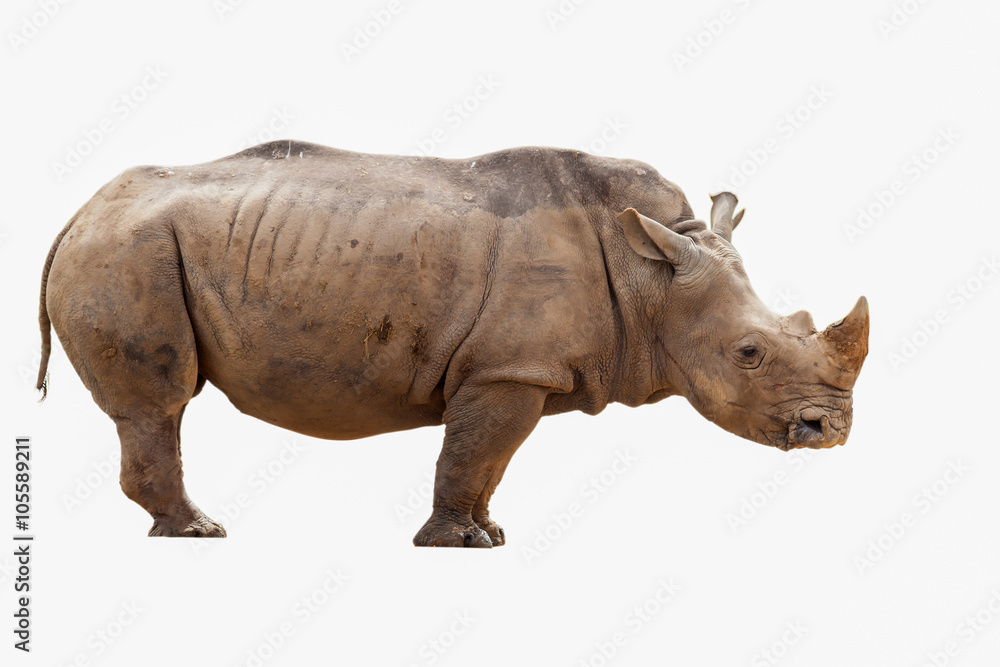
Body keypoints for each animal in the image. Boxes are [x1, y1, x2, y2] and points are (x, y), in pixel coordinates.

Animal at [36, 140, 869, 547]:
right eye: (749, 353)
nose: (829, 431)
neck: (651, 275)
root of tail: (77, 213)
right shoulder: (509, 369)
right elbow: (472, 451)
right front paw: (456, 544)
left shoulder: (515, 370)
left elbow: (488, 460)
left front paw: (489, 534)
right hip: (129, 249)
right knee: (159, 403)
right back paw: (198, 534)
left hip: (130, 245)